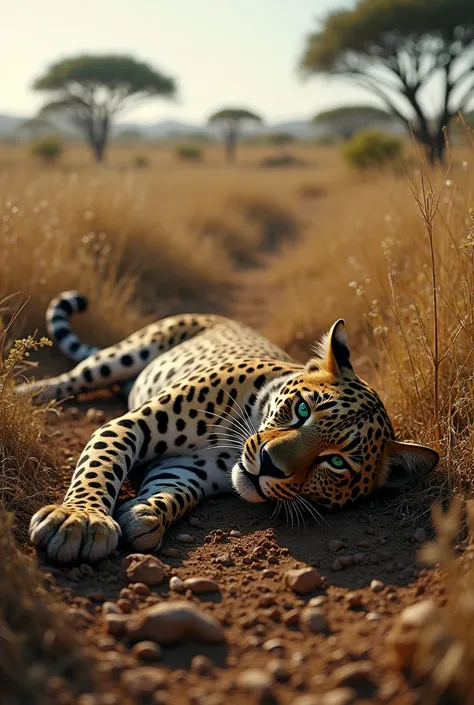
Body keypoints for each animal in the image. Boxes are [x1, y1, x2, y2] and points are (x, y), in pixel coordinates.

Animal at [19, 290, 440, 560]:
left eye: (337, 463)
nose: (270, 465)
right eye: (303, 410)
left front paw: (145, 514)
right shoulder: (134, 424)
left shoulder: (185, 469)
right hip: (126, 353)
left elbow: (174, 493)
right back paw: (28, 392)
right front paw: (80, 520)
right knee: (76, 376)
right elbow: (101, 465)